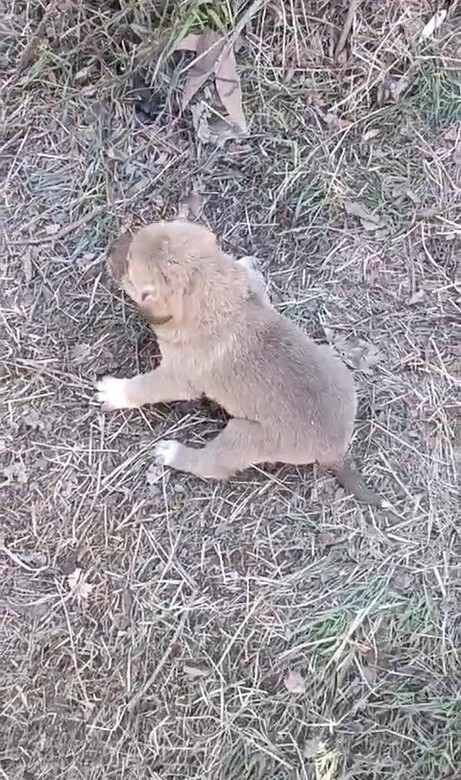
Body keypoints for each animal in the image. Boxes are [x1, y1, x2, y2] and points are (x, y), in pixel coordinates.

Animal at [99, 219, 386, 506]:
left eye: (128, 264)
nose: (109, 249)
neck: (223, 301)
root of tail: (336, 452)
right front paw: (247, 263)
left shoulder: (178, 378)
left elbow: (145, 388)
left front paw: (115, 391)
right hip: (336, 364)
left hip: (242, 436)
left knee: (210, 465)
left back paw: (172, 453)